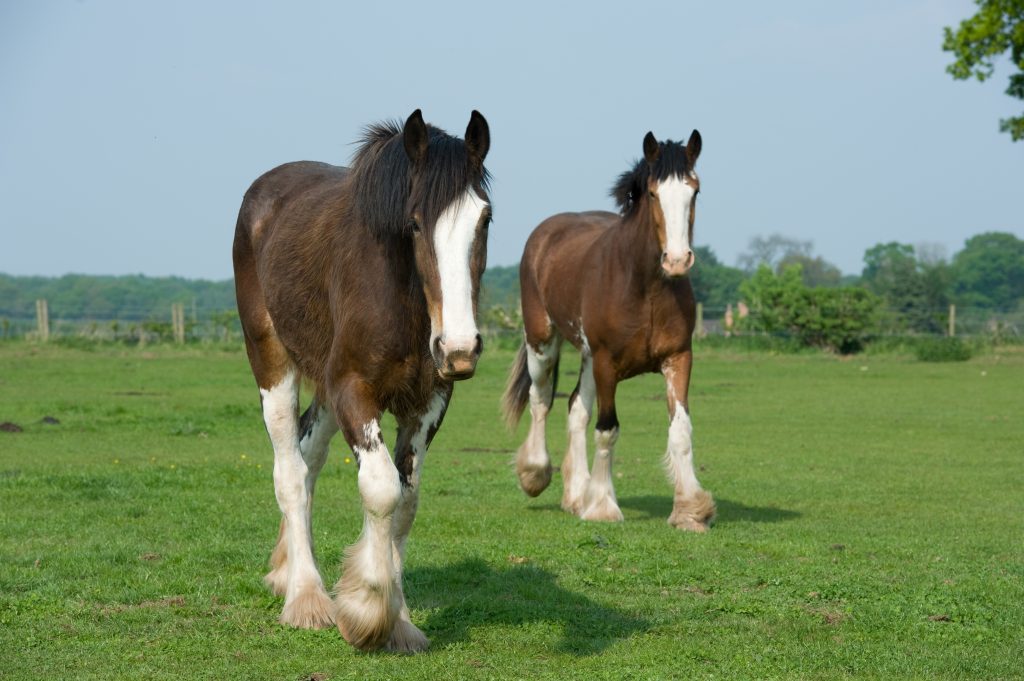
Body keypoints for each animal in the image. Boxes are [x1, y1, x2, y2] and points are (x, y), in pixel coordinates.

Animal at [234, 109, 489, 651]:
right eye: (414, 222)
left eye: (485, 218)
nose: (459, 349)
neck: (400, 295)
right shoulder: (354, 390)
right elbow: (381, 489)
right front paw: (369, 609)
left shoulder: (428, 402)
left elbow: (406, 501)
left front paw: (402, 620)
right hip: (273, 362)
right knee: (290, 471)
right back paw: (305, 597)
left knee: (308, 455)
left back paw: (286, 571)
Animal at [499, 129, 716, 532]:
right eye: (653, 193)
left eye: (694, 191)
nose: (677, 260)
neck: (644, 287)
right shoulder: (606, 363)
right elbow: (607, 429)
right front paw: (602, 506)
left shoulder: (678, 358)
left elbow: (680, 431)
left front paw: (691, 510)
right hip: (543, 343)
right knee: (541, 400)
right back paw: (535, 474)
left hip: (585, 357)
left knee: (575, 409)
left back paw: (575, 495)